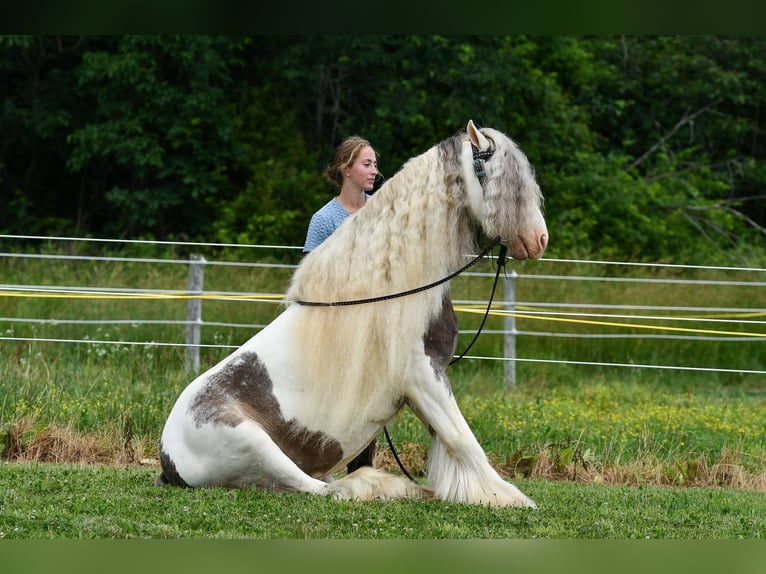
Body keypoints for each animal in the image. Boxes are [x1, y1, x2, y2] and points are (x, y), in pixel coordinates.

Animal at [156, 120, 548, 507]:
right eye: (500, 174)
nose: (539, 239)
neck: (400, 289)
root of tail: (168, 458)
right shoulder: (422, 377)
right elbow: (464, 441)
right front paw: (506, 498)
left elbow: (449, 440)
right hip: (254, 446)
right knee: (321, 489)